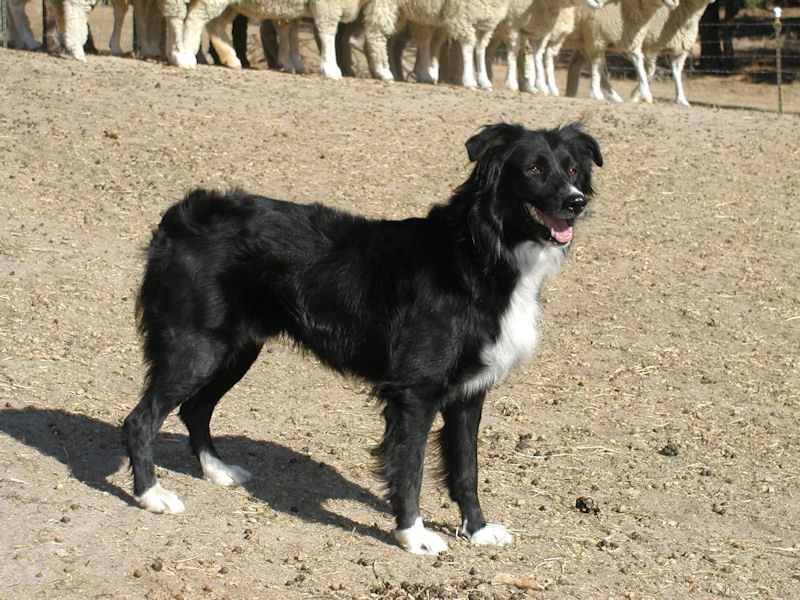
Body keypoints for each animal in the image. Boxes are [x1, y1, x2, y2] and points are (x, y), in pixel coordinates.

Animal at [123, 122, 602, 554]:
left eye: (573, 169)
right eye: (534, 169)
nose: (575, 202)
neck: (481, 250)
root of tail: (180, 215)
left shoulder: (469, 393)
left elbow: (467, 468)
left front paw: (478, 530)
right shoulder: (416, 392)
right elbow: (410, 468)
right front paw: (413, 535)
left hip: (235, 350)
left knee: (195, 410)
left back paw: (216, 470)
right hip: (197, 349)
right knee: (141, 419)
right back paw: (151, 495)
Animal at [176, 0, 366, 78]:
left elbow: (289, 31)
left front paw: (292, 63)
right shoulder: (327, 6)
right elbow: (327, 33)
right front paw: (332, 69)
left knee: (216, 24)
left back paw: (231, 59)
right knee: (196, 18)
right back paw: (188, 57)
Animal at [363, 0, 512, 89]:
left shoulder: (485, 22)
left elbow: (480, 49)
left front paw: (484, 81)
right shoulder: (463, 14)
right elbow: (468, 48)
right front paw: (469, 80)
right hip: (385, 4)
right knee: (375, 34)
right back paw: (384, 72)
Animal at [543, 0, 679, 102]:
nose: (675, 2)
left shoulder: (628, 38)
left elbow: (640, 65)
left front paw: (643, 95)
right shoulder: (595, 35)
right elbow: (597, 64)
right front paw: (596, 93)